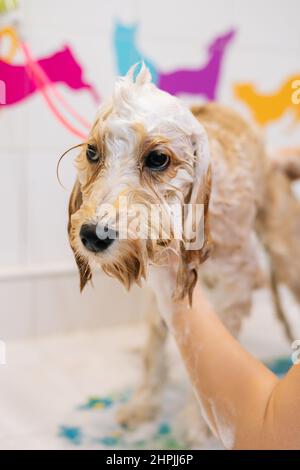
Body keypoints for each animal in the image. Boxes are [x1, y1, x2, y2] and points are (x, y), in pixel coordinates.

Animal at [67, 65, 300, 444]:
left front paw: (197, 427)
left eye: (158, 159)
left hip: (285, 251)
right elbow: (154, 352)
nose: (91, 235)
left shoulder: (234, 285)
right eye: (92, 153)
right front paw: (142, 406)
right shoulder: (160, 294)